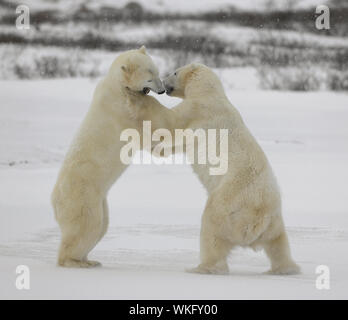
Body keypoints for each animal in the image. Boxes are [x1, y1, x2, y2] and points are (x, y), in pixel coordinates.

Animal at [50, 46, 174, 268]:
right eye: (150, 77)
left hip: (100, 200)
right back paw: (76, 261)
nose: (161, 90)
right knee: (87, 226)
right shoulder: (122, 111)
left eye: (157, 71)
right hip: (83, 197)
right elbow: (144, 130)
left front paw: (163, 150)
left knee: (101, 226)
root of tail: (55, 201)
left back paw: (90, 260)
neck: (116, 86)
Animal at [162, 63, 300, 276]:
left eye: (175, 72)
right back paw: (284, 269)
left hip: (227, 203)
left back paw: (201, 268)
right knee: (278, 243)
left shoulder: (199, 110)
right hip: (274, 219)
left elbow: (175, 128)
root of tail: (256, 220)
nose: (163, 82)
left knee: (211, 228)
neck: (209, 91)